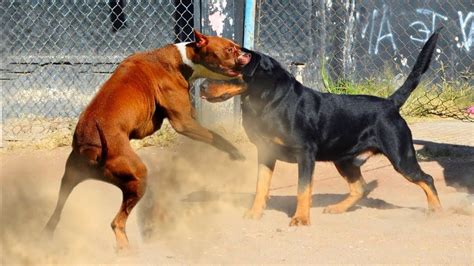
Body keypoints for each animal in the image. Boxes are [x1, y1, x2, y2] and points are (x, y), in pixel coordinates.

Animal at [44, 30, 252, 250]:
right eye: (229, 49)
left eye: (235, 46)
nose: (247, 54)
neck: (182, 58)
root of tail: (92, 153)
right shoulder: (184, 122)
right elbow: (216, 137)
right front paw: (235, 152)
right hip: (138, 175)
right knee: (117, 222)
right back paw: (125, 249)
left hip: (69, 179)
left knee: (57, 213)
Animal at [200, 29, 440, 225]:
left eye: (228, 70)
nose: (201, 86)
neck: (268, 102)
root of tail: (390, 103)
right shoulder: (265, 152)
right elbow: (261, 186)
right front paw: (254, 213)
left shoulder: (305, 153)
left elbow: (303, 189)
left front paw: (301, 219)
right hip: (344, 159)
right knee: (360, 188)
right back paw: (337, 208)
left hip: (401, 156)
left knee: (427, 178)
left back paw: (437, 211)